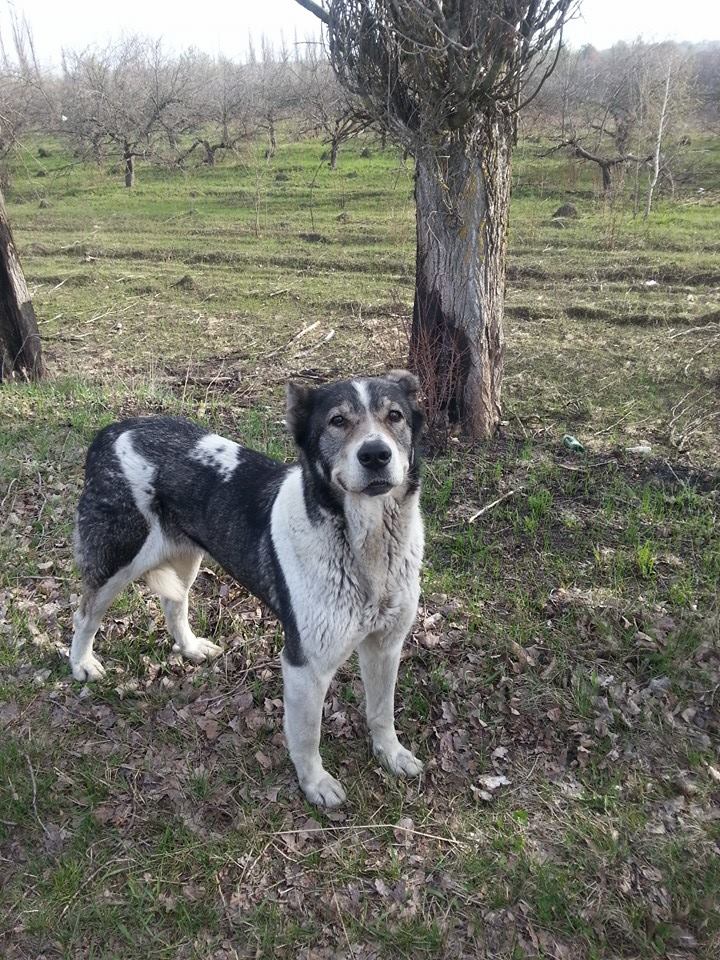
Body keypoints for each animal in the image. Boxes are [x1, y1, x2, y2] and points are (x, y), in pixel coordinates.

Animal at [70, 371, 425, 807]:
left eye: (394, 416)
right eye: (337, 421)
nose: (375, 454)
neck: (366, 545)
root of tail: (112, 430)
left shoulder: (386, 646)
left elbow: (382, 710)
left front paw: (391, 754)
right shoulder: (305, 665)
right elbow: (307, 736)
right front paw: (315, 784)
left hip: (186, 557)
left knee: (174, 604)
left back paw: (190, 647)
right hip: (118, 560)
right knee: (85, 613)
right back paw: (82, 664)